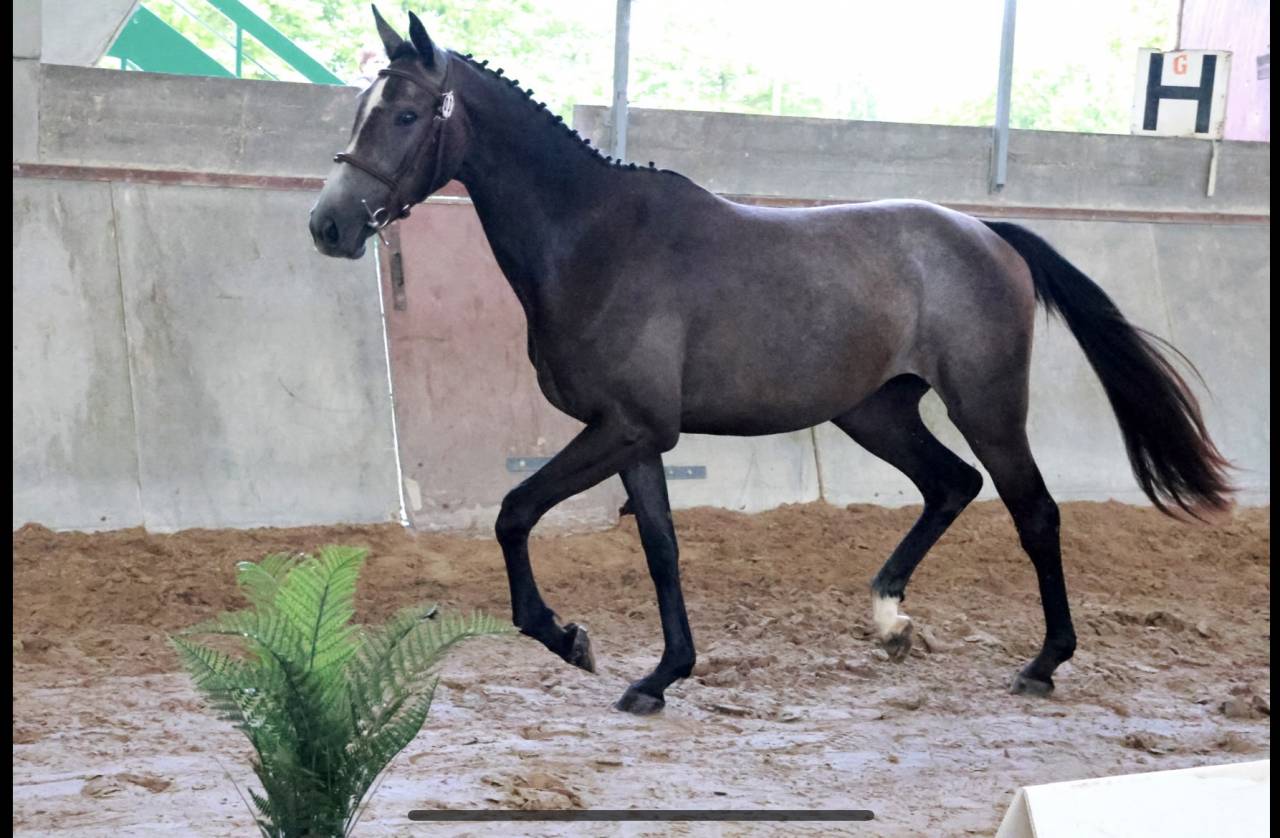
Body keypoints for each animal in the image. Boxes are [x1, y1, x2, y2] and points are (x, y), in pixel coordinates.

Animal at [309, 8, 1234, 715]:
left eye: (404, 115)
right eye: (358, 110)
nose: (329, 224)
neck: (593, 239)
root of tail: (987, 233)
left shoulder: (625, 428)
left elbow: (512, 513)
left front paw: (570, 639)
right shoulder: (636, 437)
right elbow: (661, 548)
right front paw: (659, 675)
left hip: (987, 404)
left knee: (1032, 511)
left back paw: (1042, 664)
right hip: (875, 410)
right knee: (951, 485)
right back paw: (890, 621)